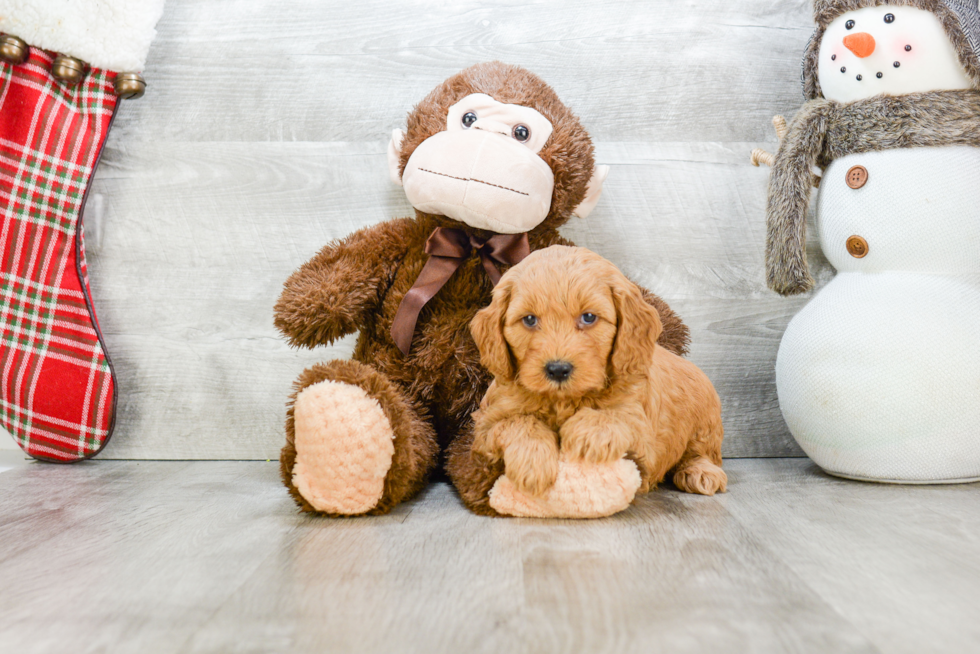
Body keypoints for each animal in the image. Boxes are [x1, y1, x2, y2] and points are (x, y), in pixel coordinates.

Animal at [470, 247, 724, 502]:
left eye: (589, 317)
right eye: (529, 319)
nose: (558, 369)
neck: (563, 401)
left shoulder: (644, 437)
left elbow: (618, 417)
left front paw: (584, 431)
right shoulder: (485, 424)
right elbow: (517, 421)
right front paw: (533, 464)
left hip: (705, 423)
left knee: (703, 453)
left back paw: (700, 472)